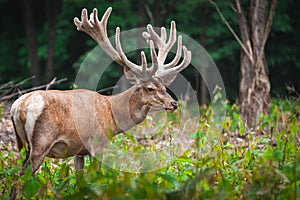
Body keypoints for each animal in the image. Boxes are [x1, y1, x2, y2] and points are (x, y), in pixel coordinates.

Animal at [11, 7, 192, 175]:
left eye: (164, 87)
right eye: (150, 88)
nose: (173, 103)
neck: (112, 115)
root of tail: (19, 107)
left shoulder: (79, 151)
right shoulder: (98, 142)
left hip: (22, 144)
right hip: (41, 142)